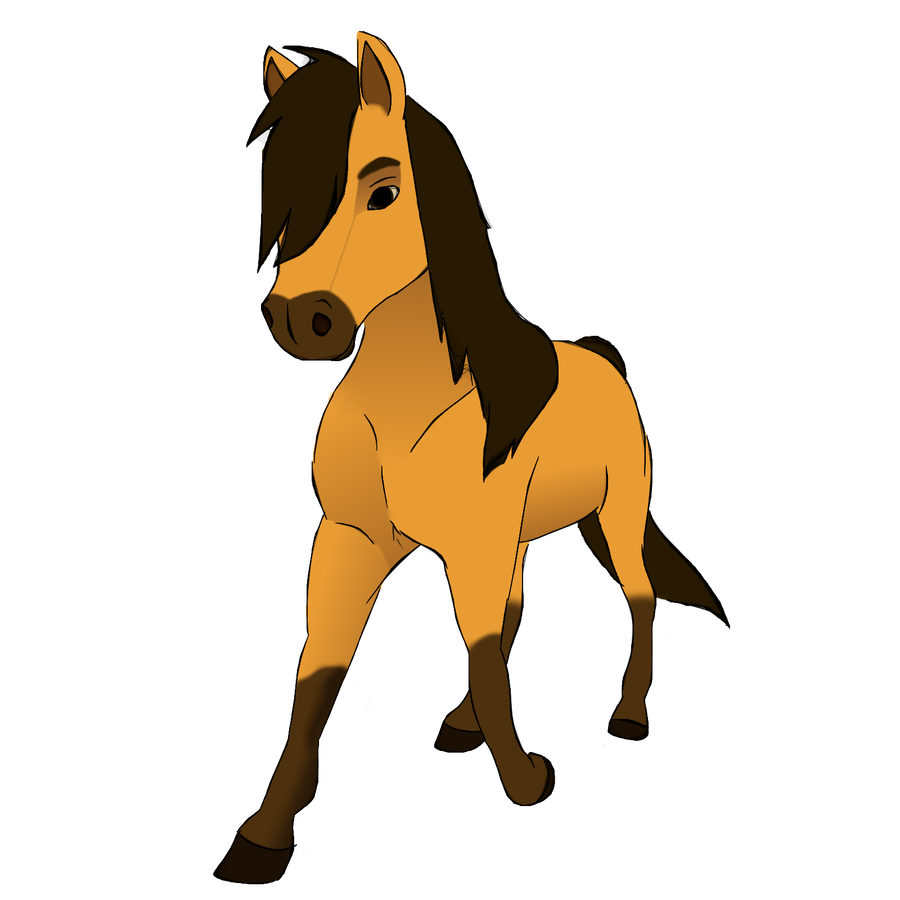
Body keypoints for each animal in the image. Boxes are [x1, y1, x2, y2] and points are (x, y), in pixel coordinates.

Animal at [212, 30, 729, 886]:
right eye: (277, 189)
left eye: (384, 190)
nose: (303, 319)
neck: (405, 397)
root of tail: (606, 362)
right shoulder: (354, 540)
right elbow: (321, 676)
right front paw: (263, 835)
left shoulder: (475, 542)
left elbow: (485, 655)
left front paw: (525, 780)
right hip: (513, 535)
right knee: (520, 608)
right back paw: (463, 725)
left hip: (615, 512)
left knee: (639, 596)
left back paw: (625, 716)